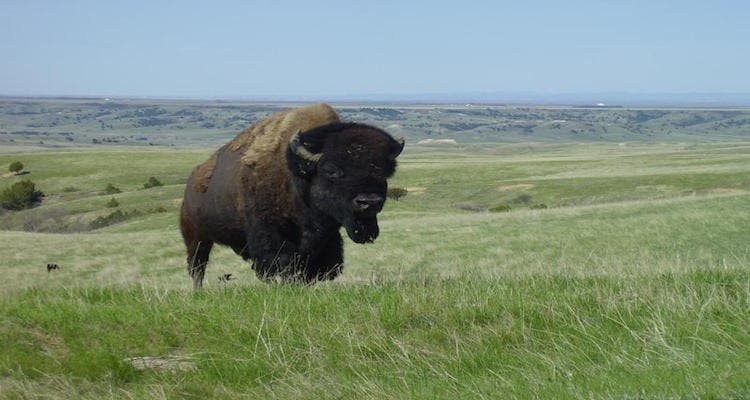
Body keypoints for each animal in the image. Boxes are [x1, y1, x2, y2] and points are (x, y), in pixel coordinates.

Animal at [180, 104, 404, 289]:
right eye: (331, 170)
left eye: (385, 171)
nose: (369, 202)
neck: (298, 175)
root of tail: (190, 184)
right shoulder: (270, 234)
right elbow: (282, 263)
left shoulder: (324, 239)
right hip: (197, 238)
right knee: (197, 267)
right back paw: (198, 291)